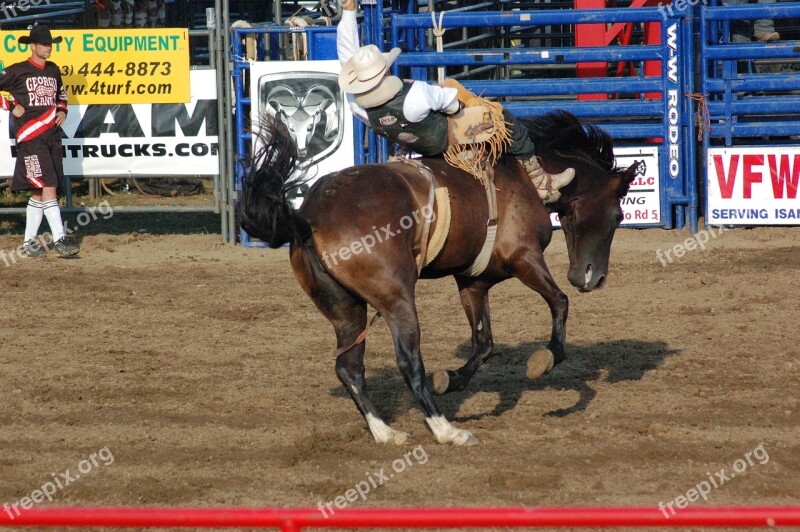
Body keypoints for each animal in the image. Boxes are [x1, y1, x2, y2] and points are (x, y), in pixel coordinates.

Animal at [241, 110, 640, 446]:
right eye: (618, 215)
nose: (592, 277)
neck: (525, 179)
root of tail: (307, 216)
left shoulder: (473, 282)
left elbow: (484, 343)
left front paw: (453, 379)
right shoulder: (524, 257)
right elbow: (559, 302)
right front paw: (547, 358)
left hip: (346, 310)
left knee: (349, 368)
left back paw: (386, 433)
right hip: (397, 300)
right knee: (408, 363)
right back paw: (447, 430)